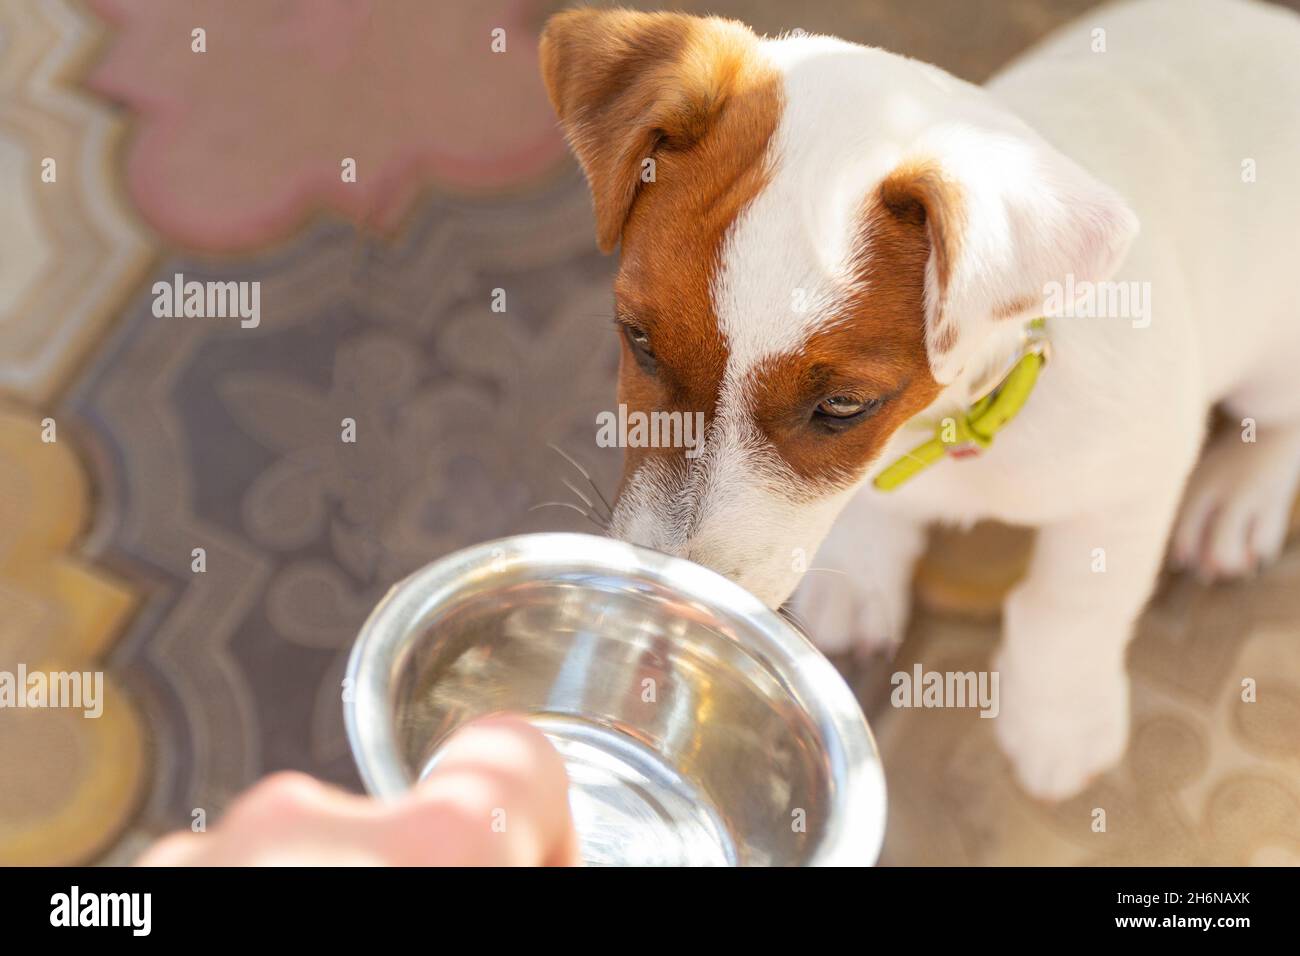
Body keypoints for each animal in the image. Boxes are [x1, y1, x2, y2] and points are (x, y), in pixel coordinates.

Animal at [535, 0, 1300, 801]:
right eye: (638, 340)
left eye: (843, 405)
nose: (668, 591)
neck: (948, 425)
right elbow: (876, 509)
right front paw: (865, 573)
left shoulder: (1131, 481)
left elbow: (1072, 602)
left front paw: (1058, 720)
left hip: (1273, 352)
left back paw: (1240, 495)